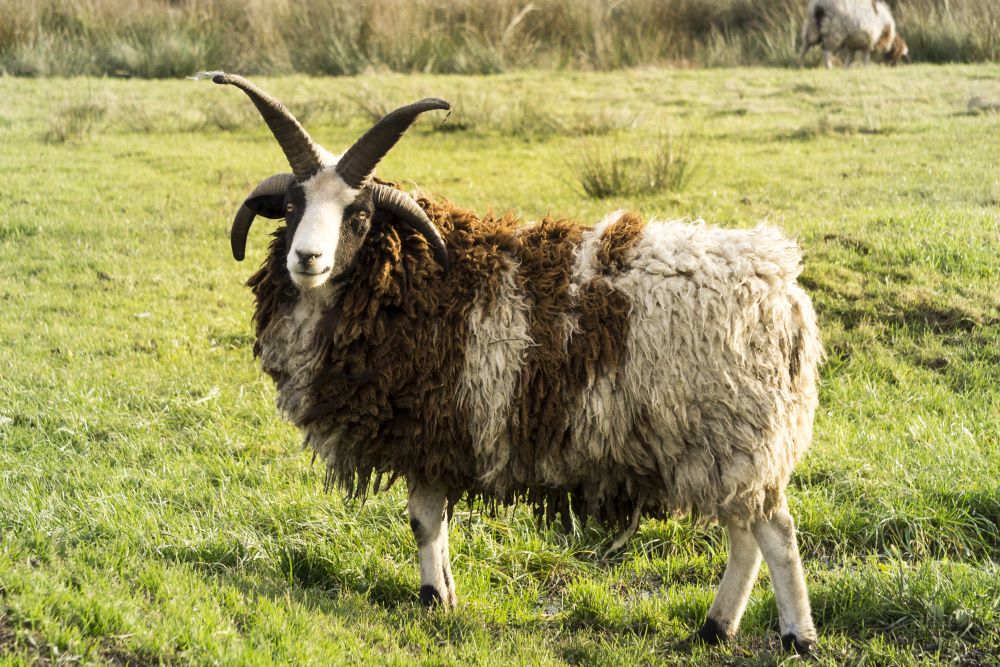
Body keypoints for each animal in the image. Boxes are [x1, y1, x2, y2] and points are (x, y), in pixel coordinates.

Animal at [199, 72, 824, 652]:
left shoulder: (428, 427)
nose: (307, 258)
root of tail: (781, 289)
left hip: (735, 435)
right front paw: (445, 593)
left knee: (775, 534)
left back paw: (797, 637)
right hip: (728, 447)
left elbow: (422, 521)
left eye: (357, 217)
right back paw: (715, 629)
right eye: (292, 207)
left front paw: (432, 601)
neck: (407, 277)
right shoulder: (439, 435)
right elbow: (435, 524)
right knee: (745, 535)